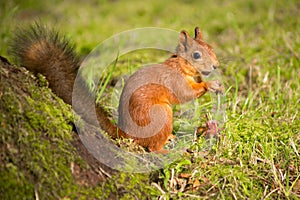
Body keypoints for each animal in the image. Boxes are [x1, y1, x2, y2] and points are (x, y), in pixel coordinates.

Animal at [9, 23, 223, 152]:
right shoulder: (174, 80)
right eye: (196, 55)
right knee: (151, 147)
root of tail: (126, 134)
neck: (181, 66)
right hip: (160, 114)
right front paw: (210, 84)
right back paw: (165, 149)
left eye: (212, 48)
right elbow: (185, 94)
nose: (216, 66)